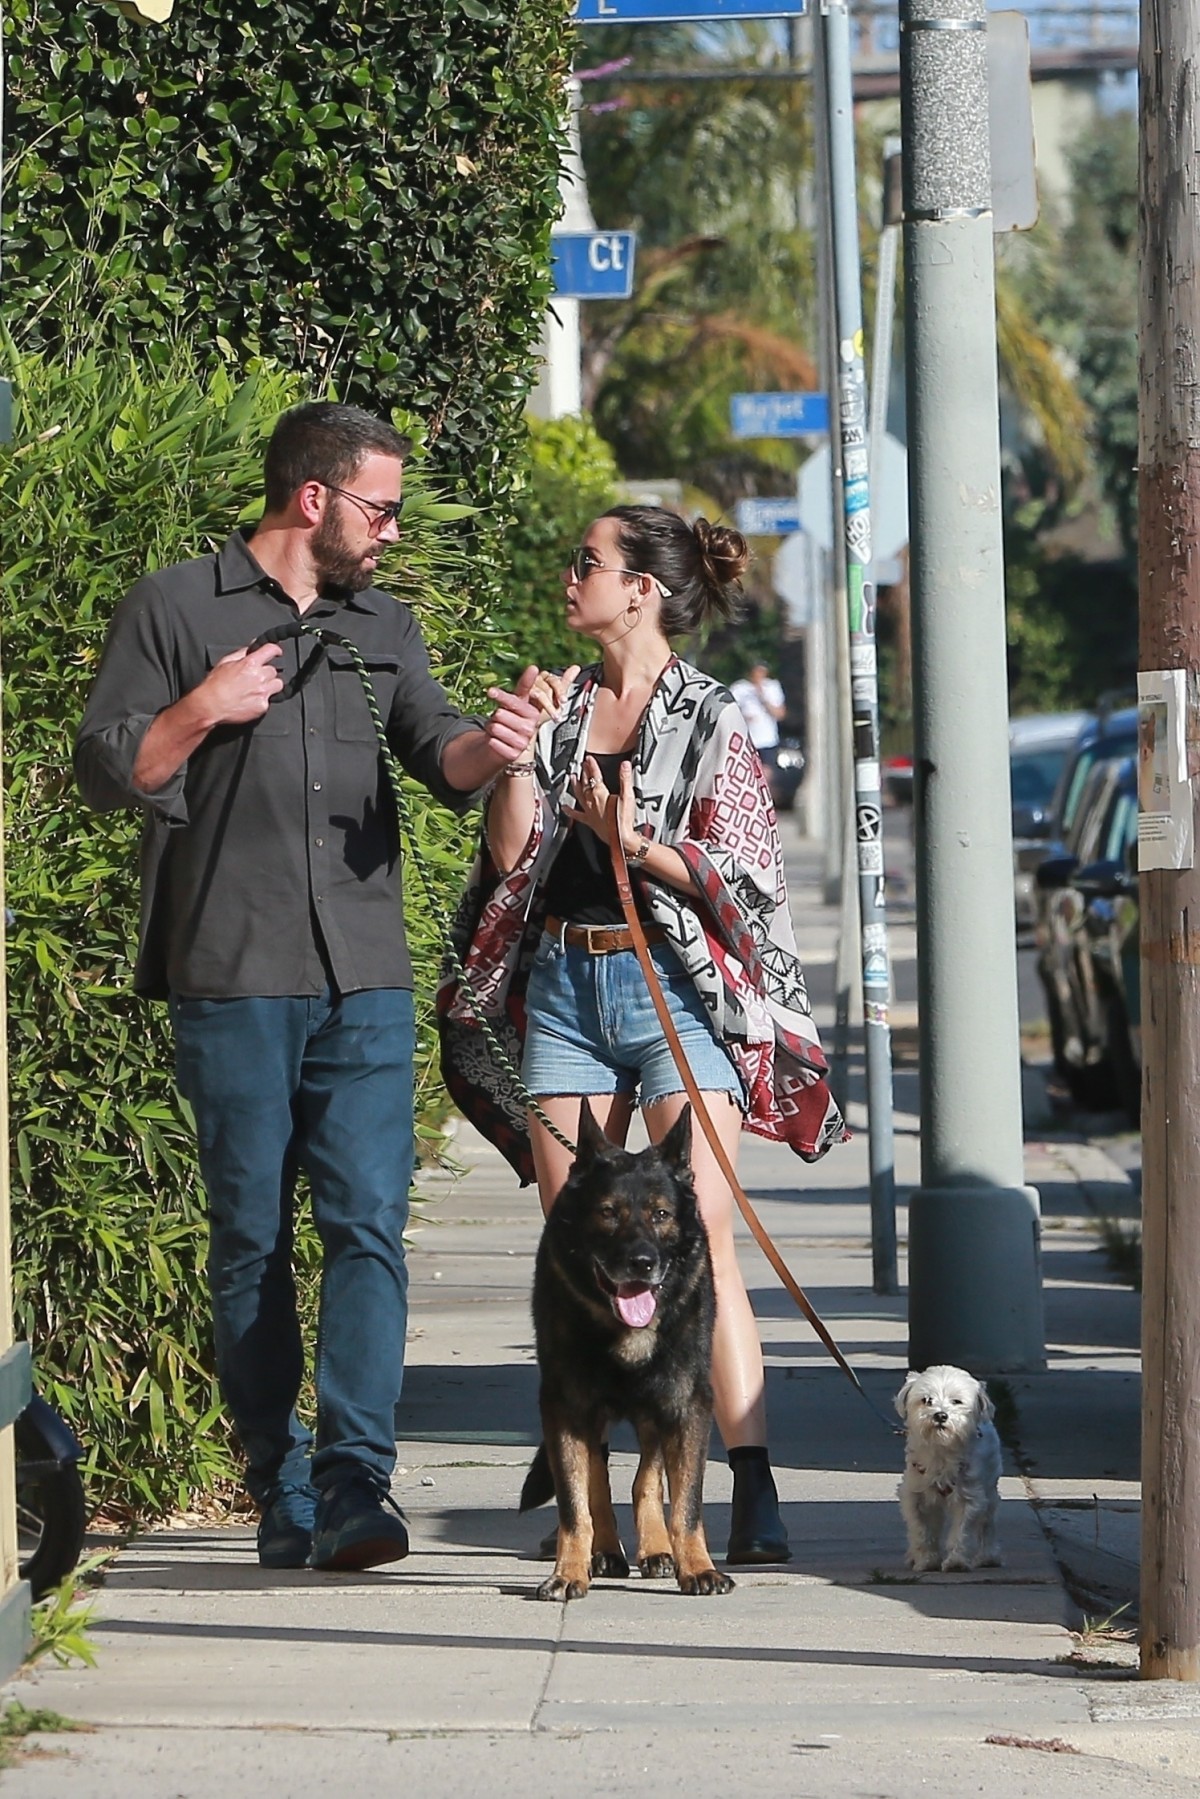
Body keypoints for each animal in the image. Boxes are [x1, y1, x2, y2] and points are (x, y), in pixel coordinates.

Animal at [892, 1367, 1007, 1568]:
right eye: (927, 1400)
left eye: (956, 1401)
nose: (940, 1415)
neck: (941, 1450)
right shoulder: (915, 1495)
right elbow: (921, 1530)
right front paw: (927, 1559)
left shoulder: (969, 1497)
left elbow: (961, 1531)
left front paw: (956, 1561)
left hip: (989, 1489)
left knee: (987, 1524)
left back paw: (988, 1556)